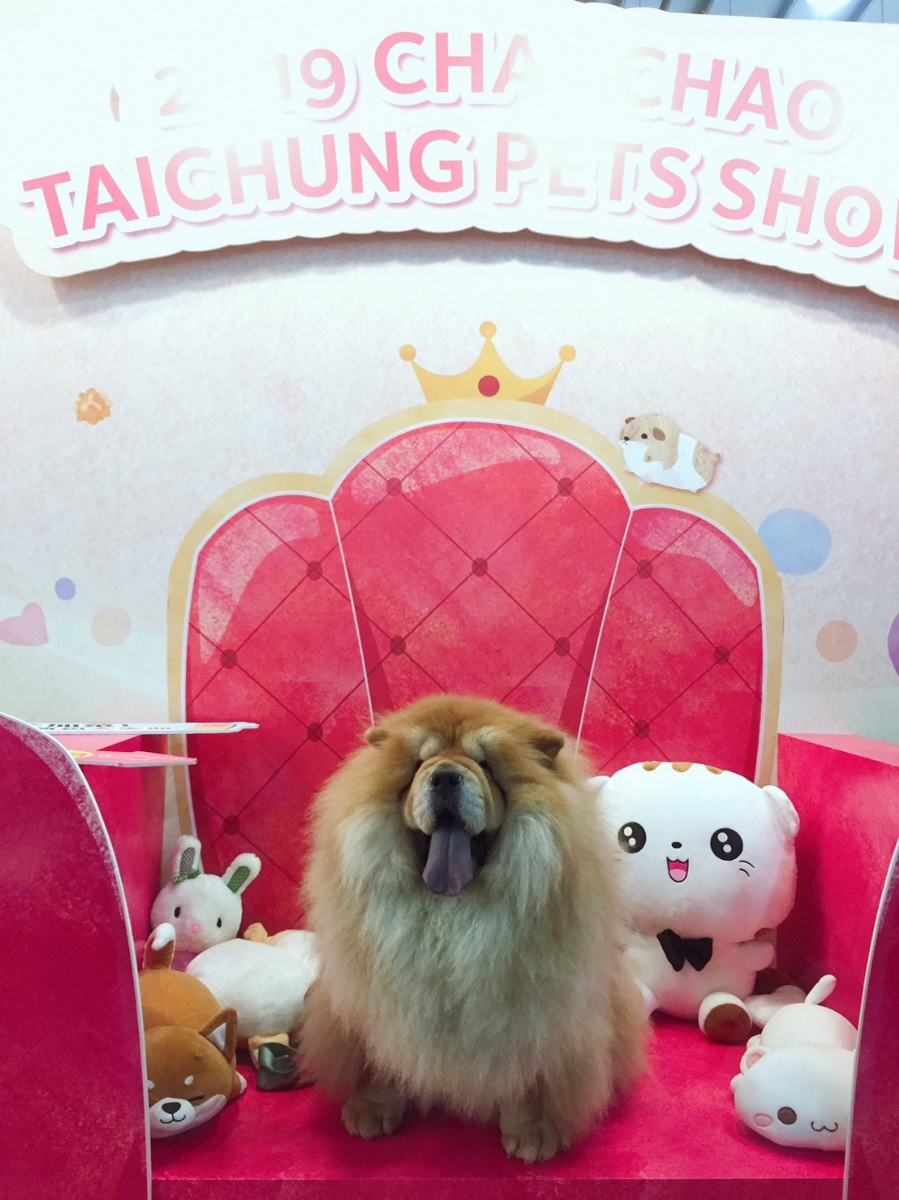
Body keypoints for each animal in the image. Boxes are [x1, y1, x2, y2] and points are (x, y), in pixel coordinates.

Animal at [300, 694, 646, 1163]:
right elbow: (382, 1057)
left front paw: (532, 1131)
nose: (445, 776)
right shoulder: (378, 998)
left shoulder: (533, 1010)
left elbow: (526, 1075)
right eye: (419, 763)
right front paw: (372, 1107)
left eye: (485, 764)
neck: (452, 913)